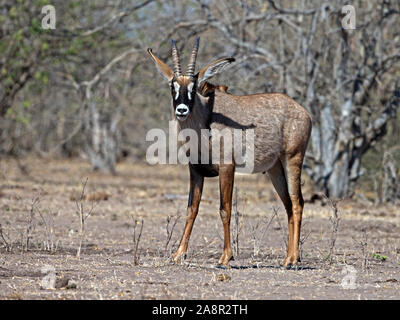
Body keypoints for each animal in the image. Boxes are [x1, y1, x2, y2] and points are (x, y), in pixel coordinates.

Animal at [148, 37, 312, 268]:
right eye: (172, 86)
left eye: (193, 88)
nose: (181, 110)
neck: (206, 118)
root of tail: (303, 112)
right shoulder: (196, 171)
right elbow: (191, 209)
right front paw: (178, 253)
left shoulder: (227, 168)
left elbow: (224, 209)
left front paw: (225, 257)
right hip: (275, 169)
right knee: (288, 204)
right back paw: (287, 257)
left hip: (293, 159)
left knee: (297, 203)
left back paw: (294, 260)